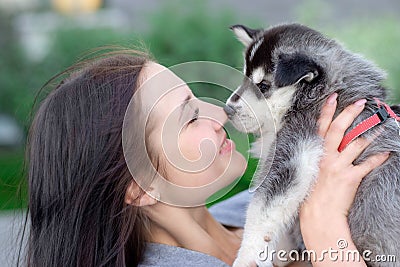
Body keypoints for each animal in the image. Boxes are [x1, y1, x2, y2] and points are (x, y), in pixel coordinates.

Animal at [225, 23, 400, 267]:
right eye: (245, 78)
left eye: (263, 86)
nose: (227, 109)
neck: (322, 93)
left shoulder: (295, 150)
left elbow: (260, 212)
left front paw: (248, 256)